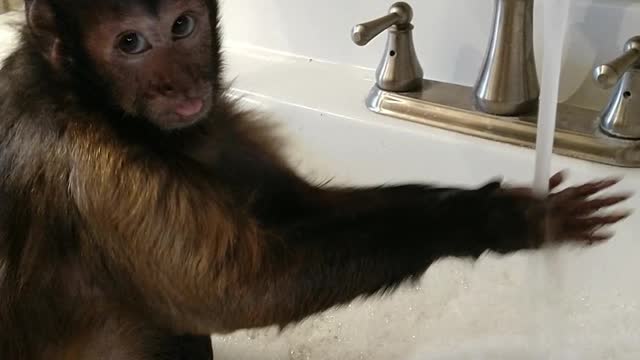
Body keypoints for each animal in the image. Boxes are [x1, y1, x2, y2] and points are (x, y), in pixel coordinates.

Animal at [0, 0, 632, 360]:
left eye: (182, 26)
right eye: (129, 42)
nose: (179, 84)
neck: (98, 107)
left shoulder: (215, 122)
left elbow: (296, 209)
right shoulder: (95, 171)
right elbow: (246, 291)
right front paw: (502, 219)